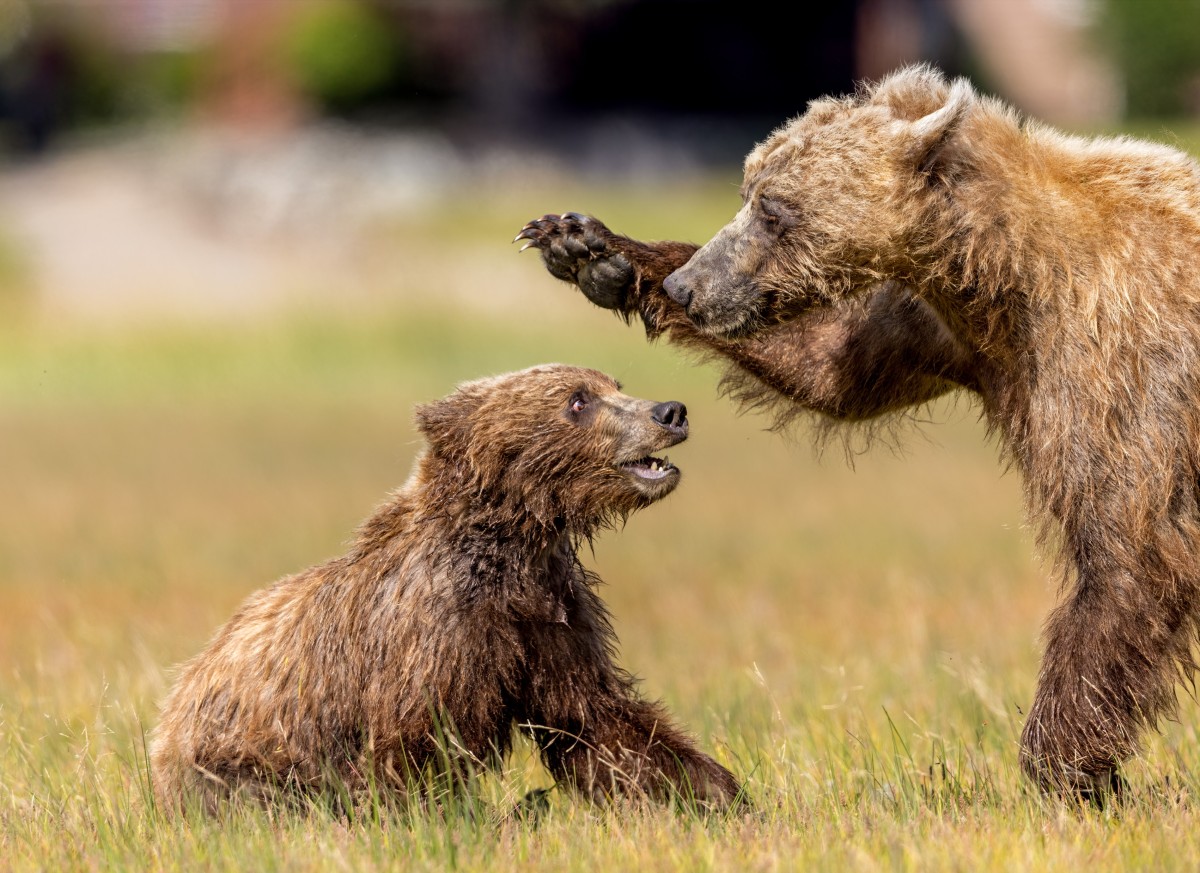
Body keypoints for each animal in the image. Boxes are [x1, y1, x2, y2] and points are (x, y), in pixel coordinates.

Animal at [516, 64, 1200, 801]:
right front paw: (586, 247)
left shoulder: (1120, 364)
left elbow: (1130, 550)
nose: (691, 286)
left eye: (773, 208)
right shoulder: (938, 325)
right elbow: (830, 367)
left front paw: (1068, 766)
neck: (1000, 273)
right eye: (748, 190)